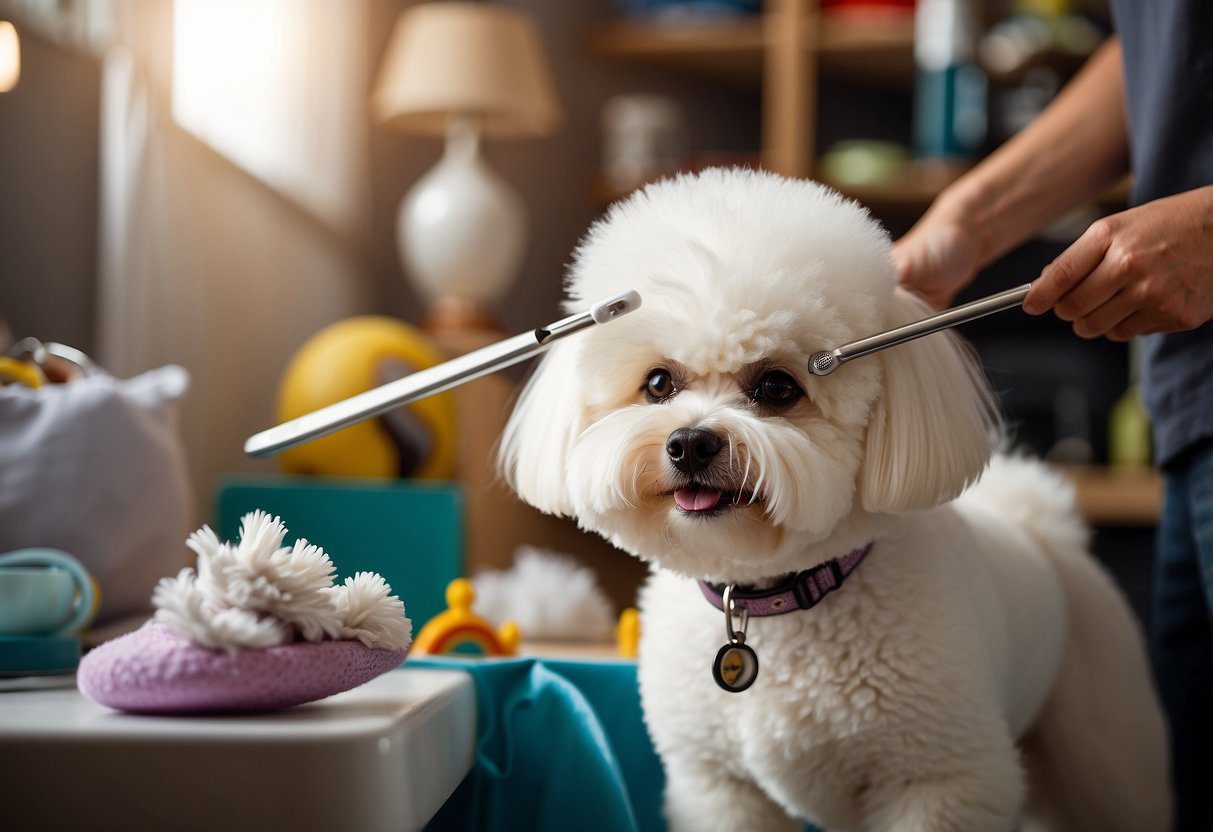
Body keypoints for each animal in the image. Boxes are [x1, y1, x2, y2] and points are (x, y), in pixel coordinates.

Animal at [497, 169, 1169, 832]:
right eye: (658, 383)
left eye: (777, 387)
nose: (690, 443)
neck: (773, 604)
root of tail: (1041, 525)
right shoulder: (720, 788)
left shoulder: (938, 782)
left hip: (1105, 753)